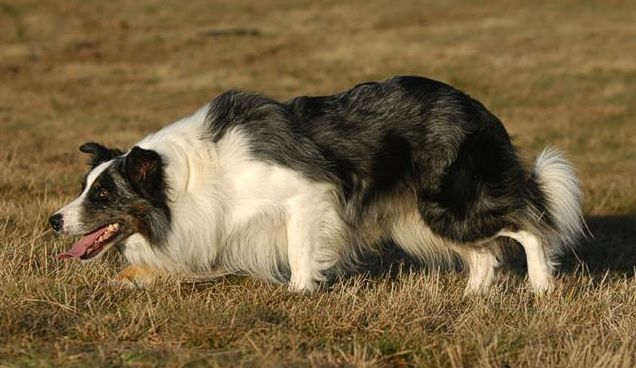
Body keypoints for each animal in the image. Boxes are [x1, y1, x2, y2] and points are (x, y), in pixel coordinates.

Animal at [49, 76, 580, 294]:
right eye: (84, 187)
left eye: (104, 194)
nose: (53, 220)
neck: (183, 180)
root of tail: (478, 109)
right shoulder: (215, 226)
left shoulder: (307, 197)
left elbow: (300, 250)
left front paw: (299, 293)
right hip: (420, 217)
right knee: (485, 253)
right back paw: (470, 298)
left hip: (451, 204)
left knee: (529, 225)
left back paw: (540, 287)